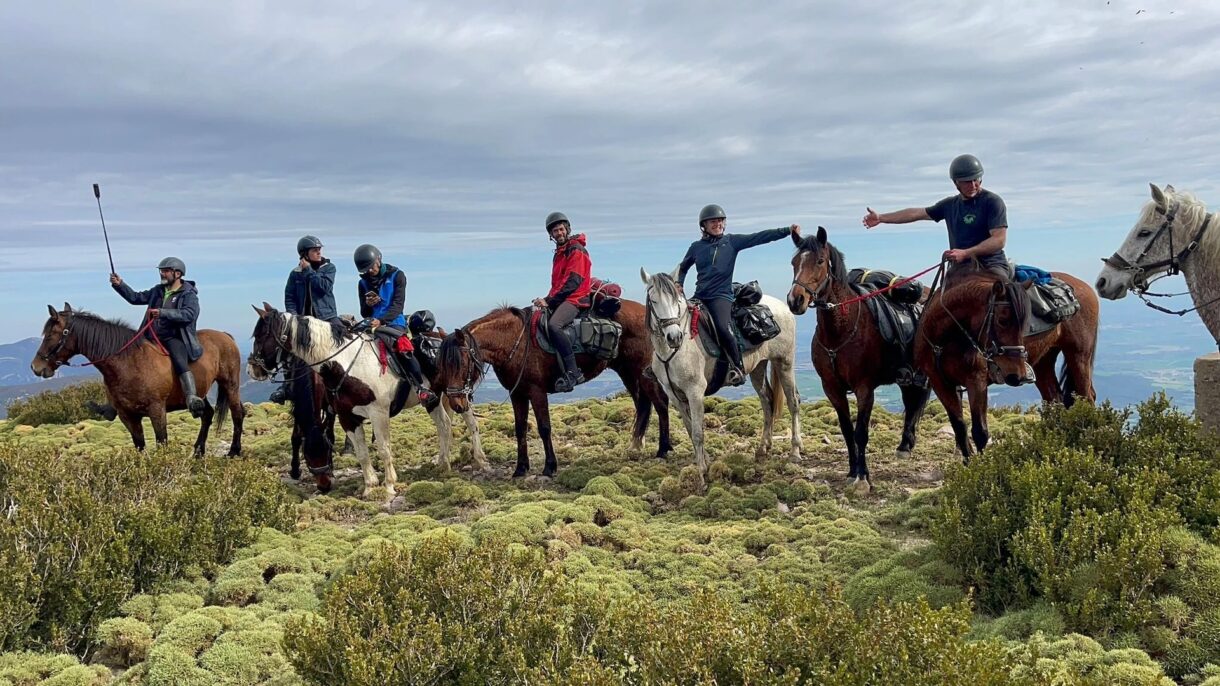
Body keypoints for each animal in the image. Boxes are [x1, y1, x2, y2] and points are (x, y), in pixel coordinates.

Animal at [30, 303, 244, 456]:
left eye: (50, 334)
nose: (35, 367)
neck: (129, 363)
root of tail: (226, 336)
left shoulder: (157, 410)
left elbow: (161, 442)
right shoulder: (127, 415)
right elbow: (140, 446)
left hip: (230, 385)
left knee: (237, 414)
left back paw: (234, 451)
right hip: (200, 392)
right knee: (207, 414)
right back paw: (198, 451)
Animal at [248, 304, 484, 497]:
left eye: (261, 335)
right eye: (307, 455)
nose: (252, 369)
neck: (344, 364)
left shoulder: (378, 414)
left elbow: (383, 448)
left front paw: (389, 486)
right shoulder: (346, 417)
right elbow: (361, 453)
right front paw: (370, 487)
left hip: (457, 394)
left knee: (470, 422)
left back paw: (479, 458)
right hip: (433, 400)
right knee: (444, 425)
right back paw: (443, 464)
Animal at [433, 299, 673, 479]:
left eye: (460, 363)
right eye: (443, 364)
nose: (456, 403)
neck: (514, 342)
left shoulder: (537, 392)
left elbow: (544, 428)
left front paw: (549, 466)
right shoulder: (517, 394)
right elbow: (520, 429)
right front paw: (520, 468)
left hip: (643, 371)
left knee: (661, 405)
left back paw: (663, 449)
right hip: (628, 373)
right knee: (643, 405)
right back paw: (636, 446)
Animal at [639, 268, 801, 486]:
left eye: (676, 300)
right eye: (653, 300)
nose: (674, 337)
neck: (673, 352)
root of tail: (782, 307)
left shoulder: (695, 392)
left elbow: (697, 433)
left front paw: (701, 474)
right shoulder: (674, 395)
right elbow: (690, 428)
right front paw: (704, 461)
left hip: (784, 362)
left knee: (793, 402)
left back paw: (795, 451)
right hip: (758, 367)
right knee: (767, 401)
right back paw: (762, 449)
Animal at [787, 227, 931, 491]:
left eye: (820, 261)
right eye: (794, 263)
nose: (795, 300)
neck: (839, 332)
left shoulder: (864, 389)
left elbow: (860, 433)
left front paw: (863, 476)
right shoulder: (832, 389)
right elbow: (846, 430)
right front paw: (852, 471)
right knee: (911, 401)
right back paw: (905, 445)